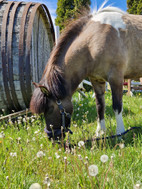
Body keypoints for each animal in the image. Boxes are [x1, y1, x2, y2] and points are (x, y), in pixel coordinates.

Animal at [30, 4, 142, 139]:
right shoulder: (96, 80)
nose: (52, 137)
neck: (94, 40)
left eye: (50, 108)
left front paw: (120, 133)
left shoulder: (116, 78)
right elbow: (100, 106)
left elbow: (117, 106)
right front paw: (100, 132)